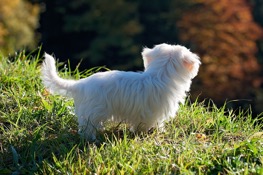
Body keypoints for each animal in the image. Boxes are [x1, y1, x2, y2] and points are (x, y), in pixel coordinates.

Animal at [41, 43, 202, 139]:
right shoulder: (151, 113)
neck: (160, 75)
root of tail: (80, 84)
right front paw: (150, 133)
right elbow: (149, 124)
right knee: (87, 128)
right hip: (93, 112)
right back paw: (92, 139)